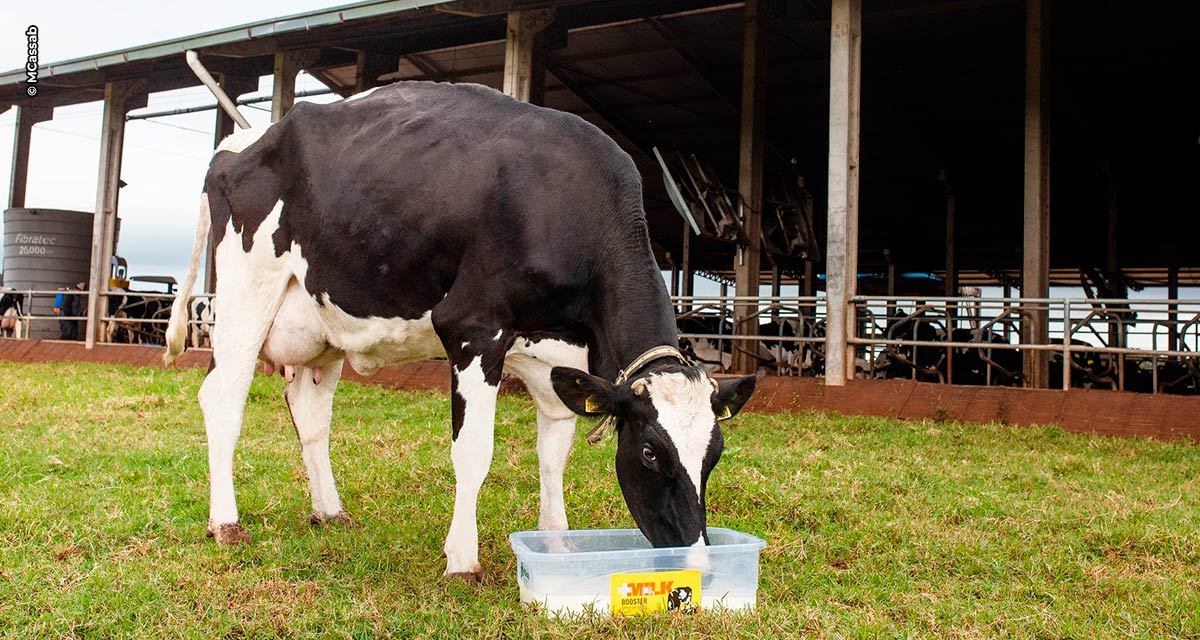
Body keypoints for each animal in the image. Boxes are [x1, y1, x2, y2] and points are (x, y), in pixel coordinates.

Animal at [162, 81, 758, 578]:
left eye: (715, 452)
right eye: (651, 452)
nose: (697, 562)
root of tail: (240, 141)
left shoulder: (558, 353)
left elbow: (554, 452)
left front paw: (558, 545)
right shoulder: (473, 329)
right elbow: (473, 452)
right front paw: (463, 559)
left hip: (321, 322)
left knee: (310, 415)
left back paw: (329, 511)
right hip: (246, 293)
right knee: (223, 399)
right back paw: (226, 523)